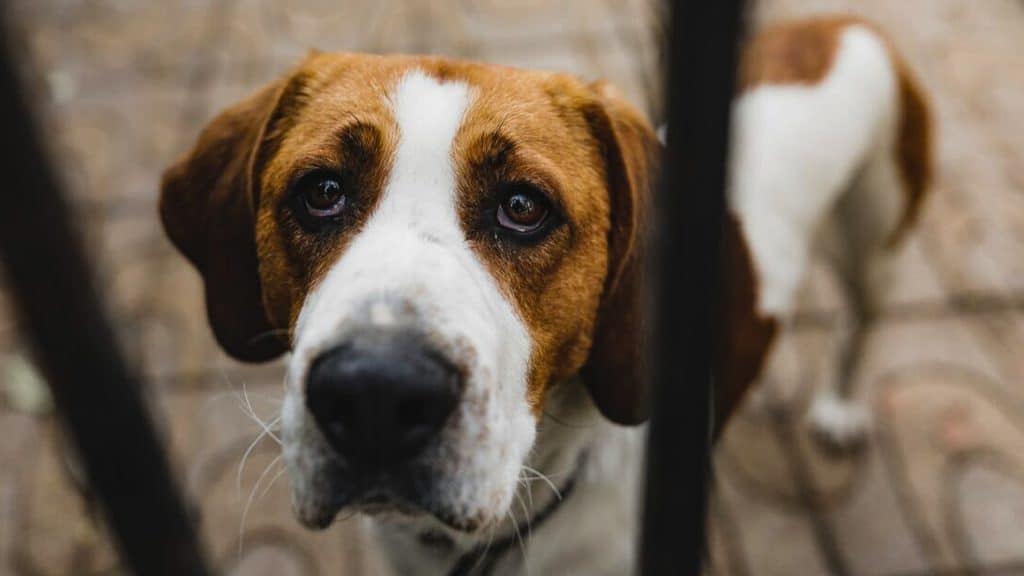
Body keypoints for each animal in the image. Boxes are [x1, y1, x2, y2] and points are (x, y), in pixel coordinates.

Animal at [157, 14, 929, 573]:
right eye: (321, 192)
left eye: (523, 207)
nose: (375, 392)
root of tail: (839, 23)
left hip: (877, 241)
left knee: (862, 320)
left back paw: (838, 408)